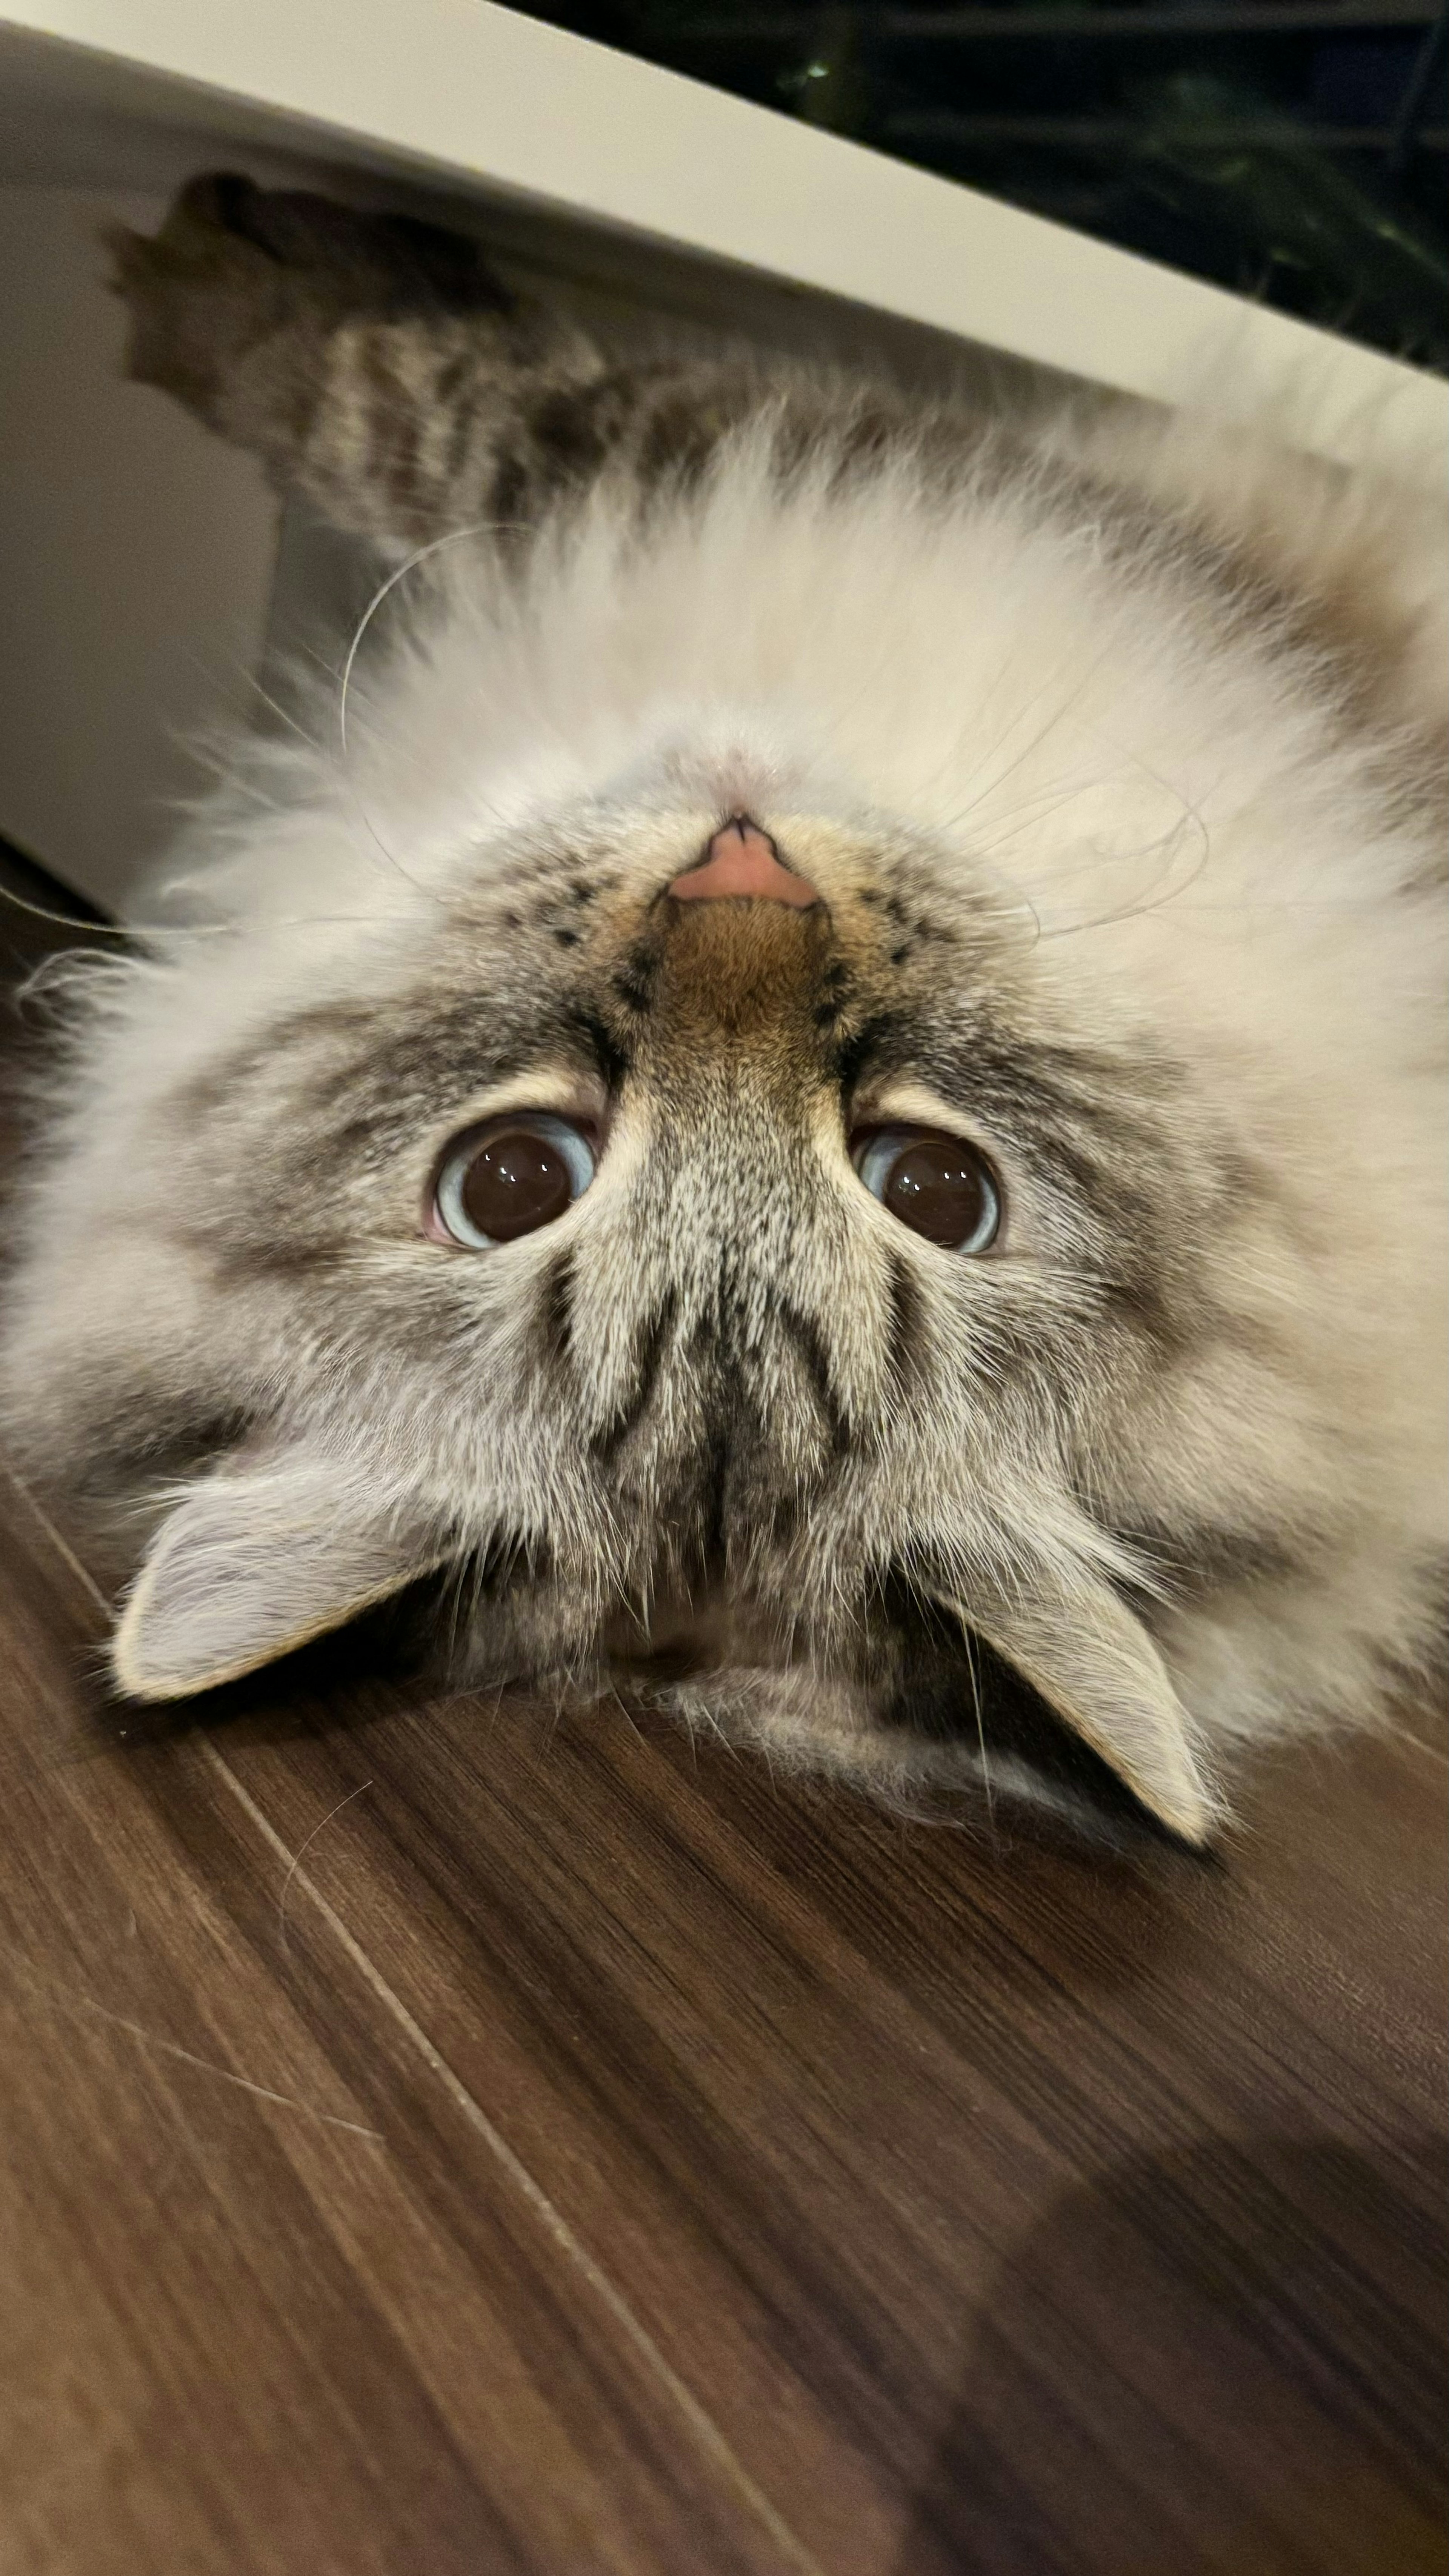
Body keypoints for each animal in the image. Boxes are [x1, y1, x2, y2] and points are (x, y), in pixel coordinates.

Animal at [5, 171, 1434, 1844]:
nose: (739, 867)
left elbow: (439, 399)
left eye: (935, 1191)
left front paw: (223, 269)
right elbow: (449, 403)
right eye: (512, 1181)